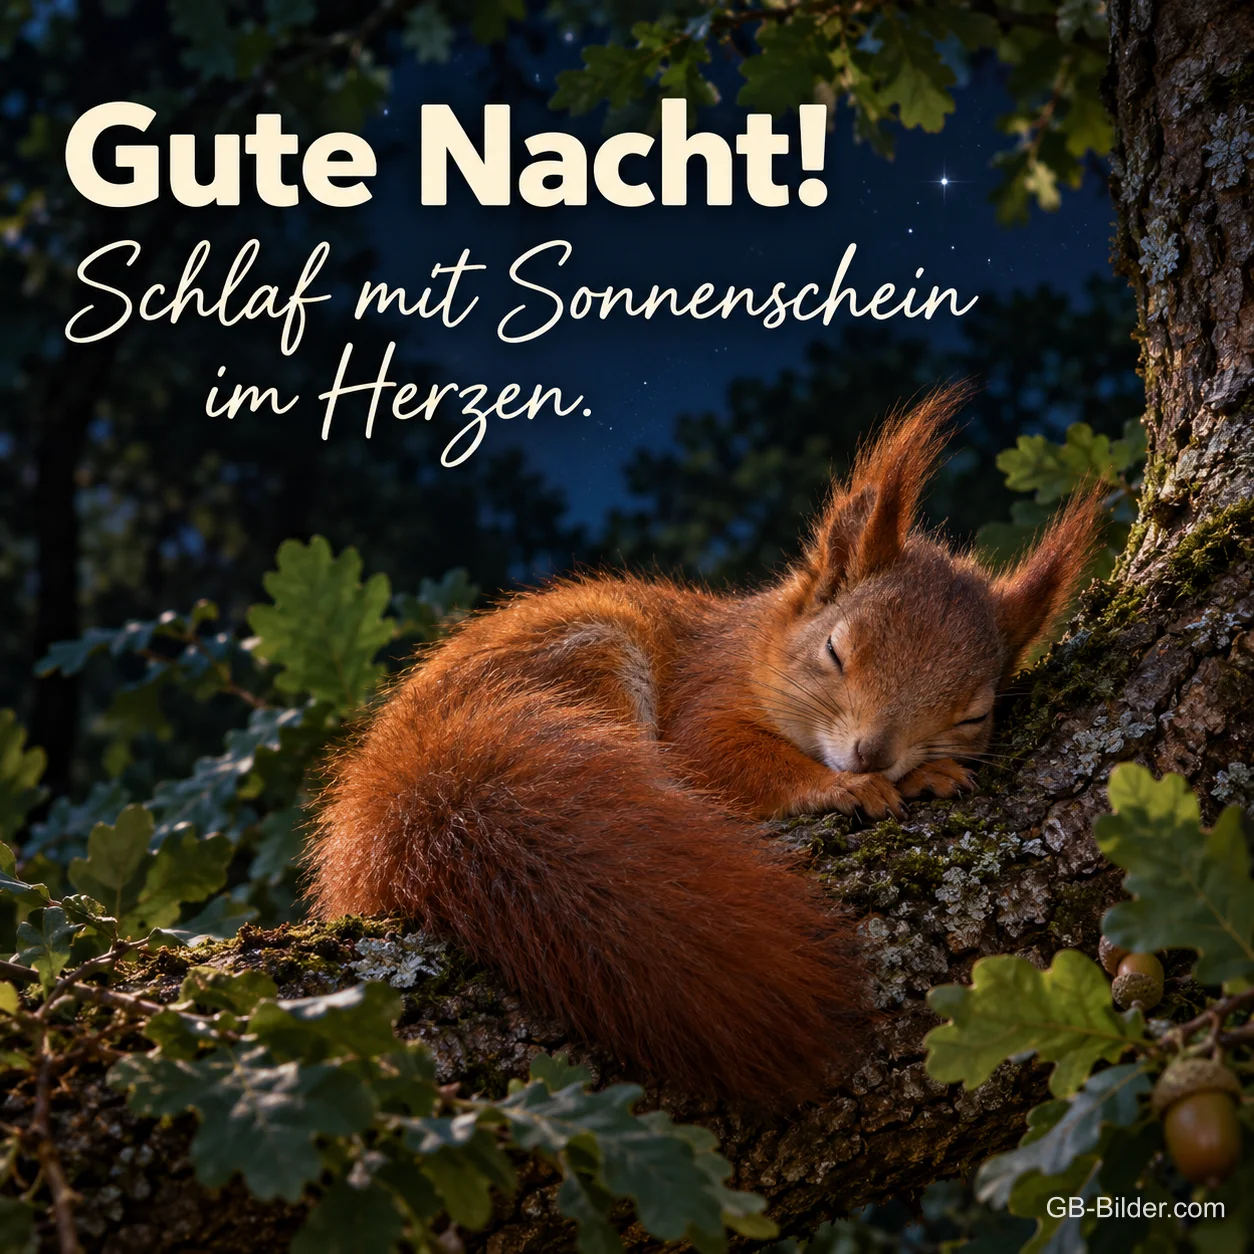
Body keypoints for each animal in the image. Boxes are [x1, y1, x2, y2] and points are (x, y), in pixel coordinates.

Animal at [308, 386, 1102, 1105]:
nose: (872, 753)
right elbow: (723, 760)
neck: (757, 644)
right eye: (837, 651)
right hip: (590, 663)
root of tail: (399, 779)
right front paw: (857, 785)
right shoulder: (703, 697)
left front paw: (920, 771)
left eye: (974, 717)